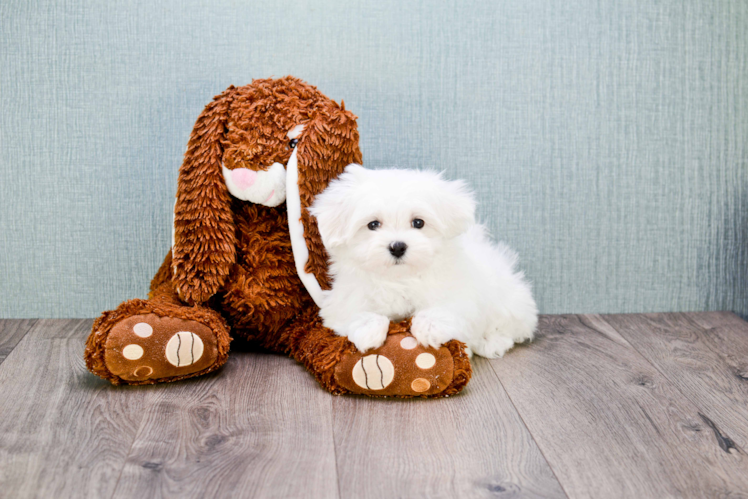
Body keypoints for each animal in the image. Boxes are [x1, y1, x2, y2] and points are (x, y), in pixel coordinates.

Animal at [310, 166, 536, 358]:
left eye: (418, 222)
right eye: (373, 225)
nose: (397, 246)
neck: (400, 278)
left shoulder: (460, 293)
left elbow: (449, 306)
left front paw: (430, 326)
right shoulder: (342, 299)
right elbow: (353, 310)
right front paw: (368, 328)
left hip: (507, 298)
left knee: (511, 326)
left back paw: (491, 343)